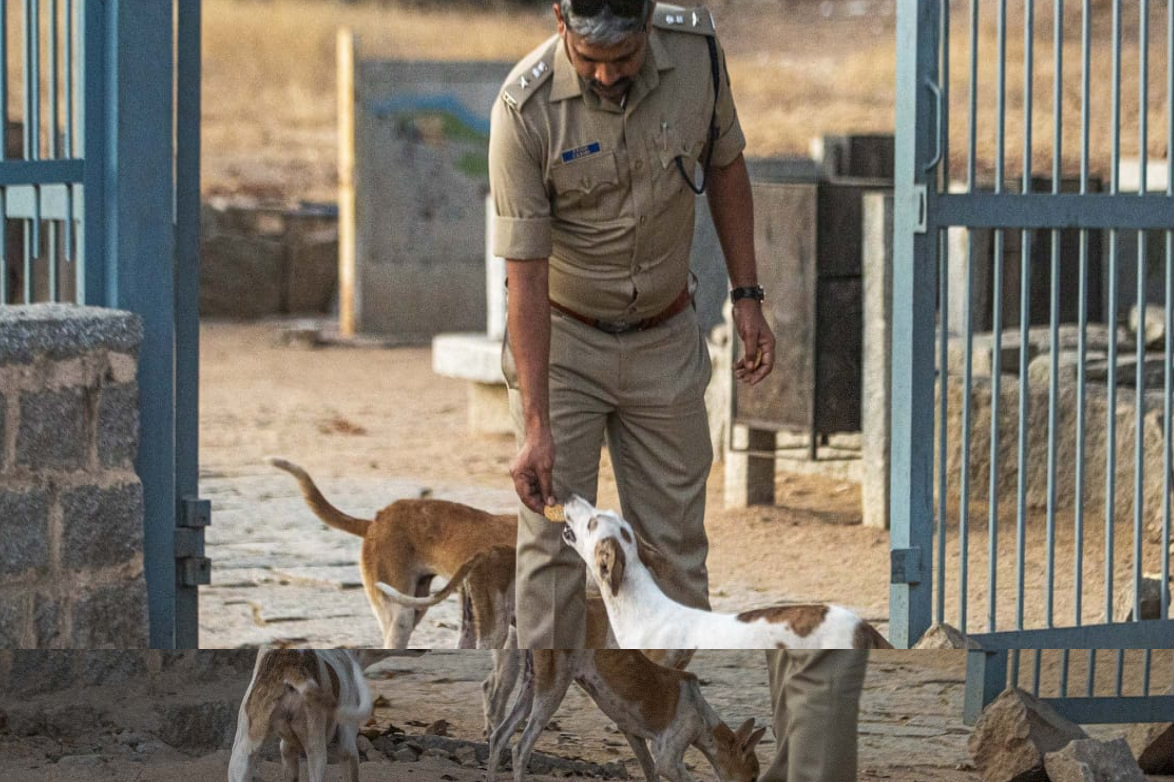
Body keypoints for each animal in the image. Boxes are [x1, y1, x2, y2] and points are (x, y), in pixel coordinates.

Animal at [486, 648, 760, 779]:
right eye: (754, 775)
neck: (702, 716)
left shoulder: (633, 735)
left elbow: (649, 772)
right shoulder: (668, 760)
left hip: (530, 688)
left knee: (498, 737)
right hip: (552, 691)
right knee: (520, 749)